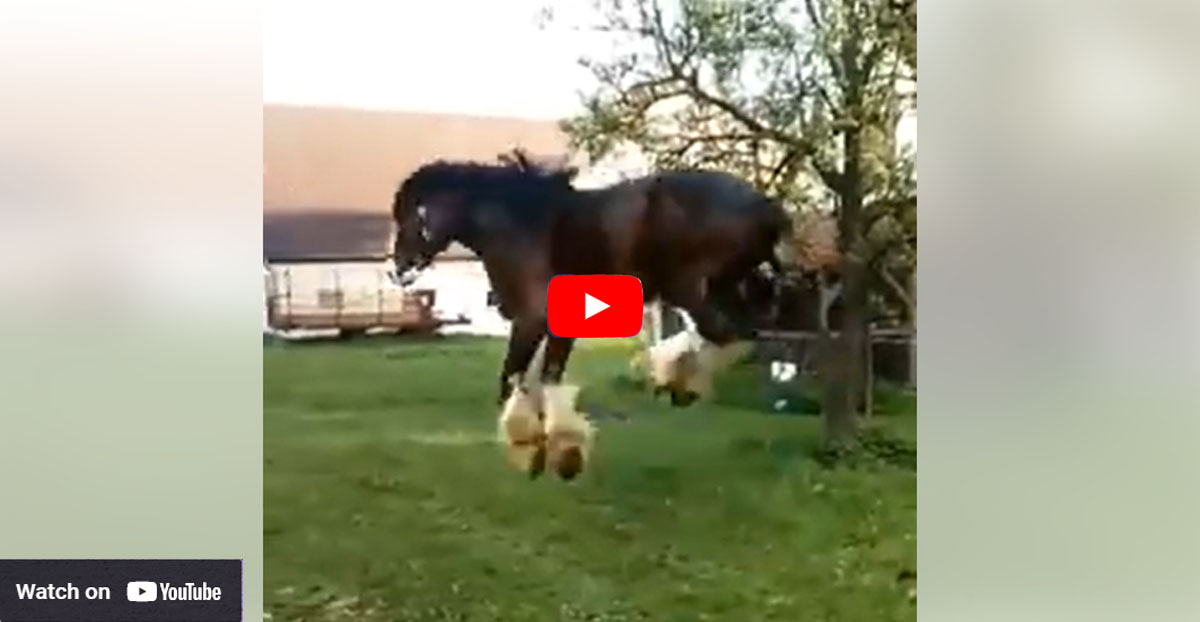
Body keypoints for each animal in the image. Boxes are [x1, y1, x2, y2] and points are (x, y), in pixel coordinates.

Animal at [388, 154, 792, 410]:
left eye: (413, 216)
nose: (399, 267)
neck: (520, 223)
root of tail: (768, 207)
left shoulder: (532, 319)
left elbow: (514, 373)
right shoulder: (557, 327)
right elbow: (547, 375)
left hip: (692, 288)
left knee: (725, 337)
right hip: (726, 287)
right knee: (741, 335)